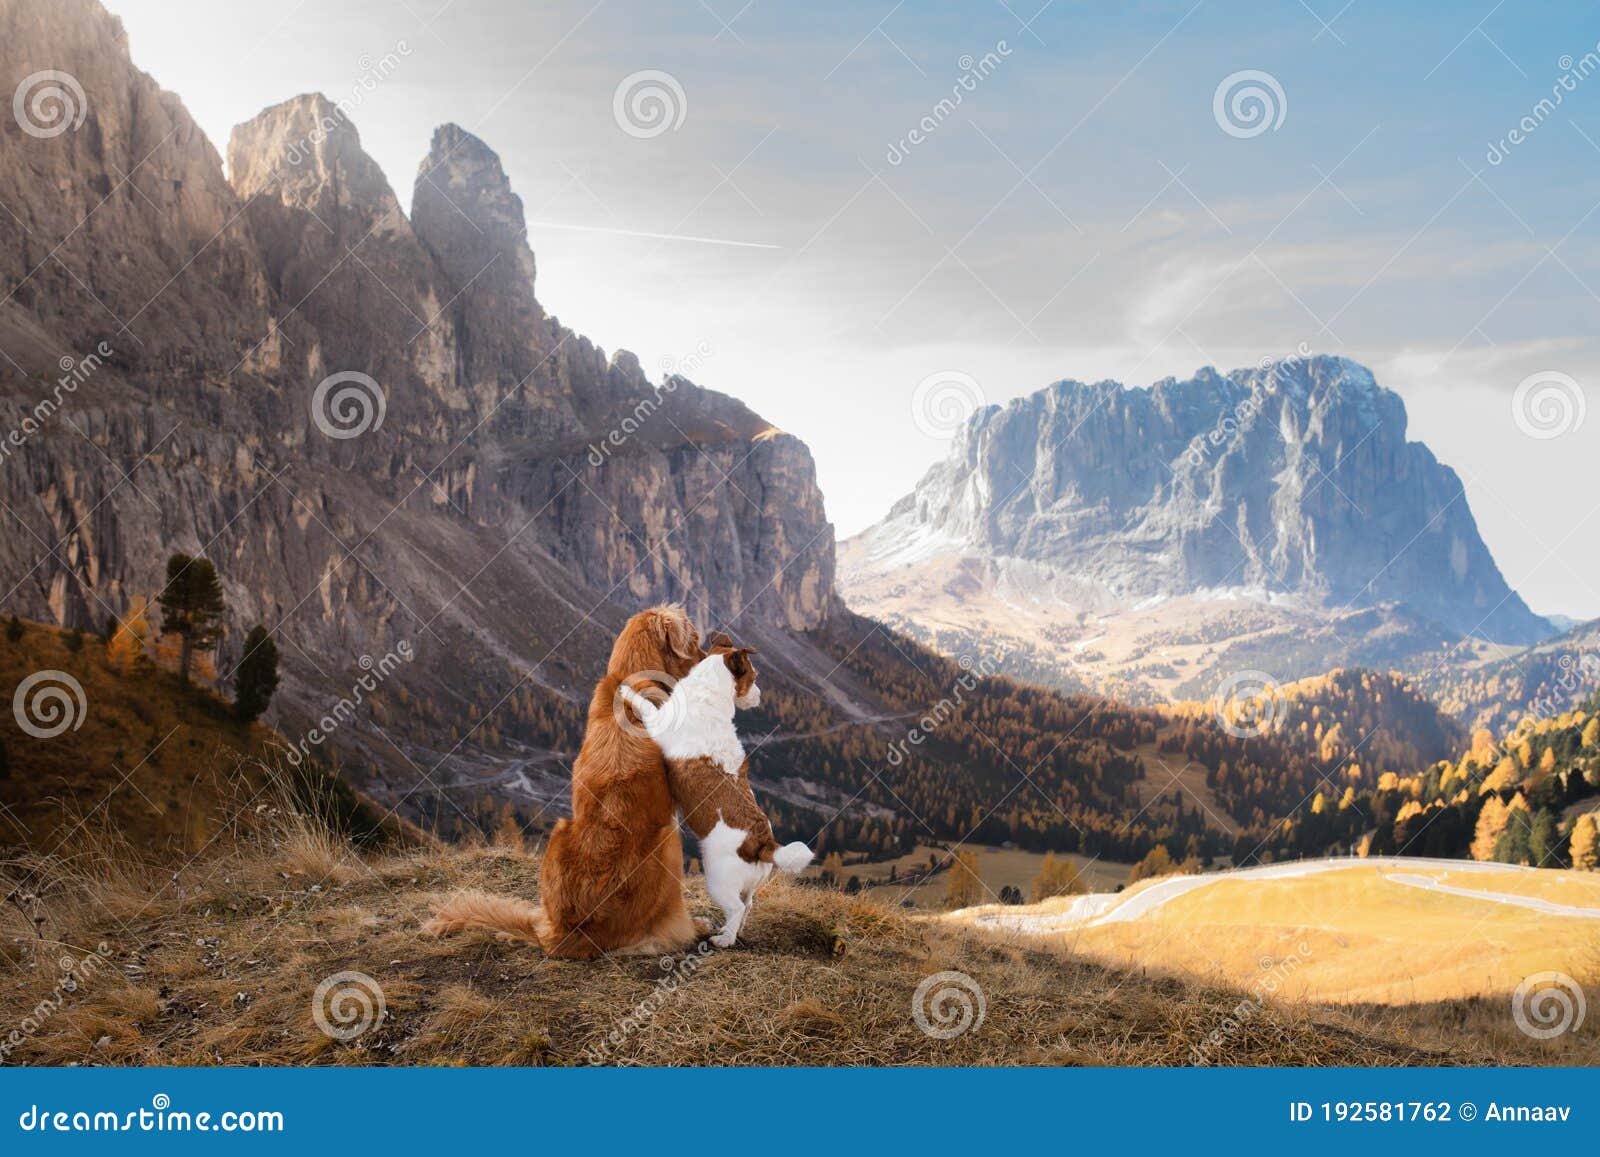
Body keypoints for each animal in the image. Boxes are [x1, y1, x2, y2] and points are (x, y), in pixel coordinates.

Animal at [425, 604, 707, 960]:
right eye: (694, 641)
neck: (631, 678)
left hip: (560, 832)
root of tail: (561, 935)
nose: (709, 657)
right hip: (667, 840)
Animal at [614, 643, 806, 947]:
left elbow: (645, 704)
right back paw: (733, 931)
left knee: (736, 907)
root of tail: (763, 842)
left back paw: (723, 940)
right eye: (755, 677)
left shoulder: (658, 722)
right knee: (748, 904)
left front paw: (625, 690)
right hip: (750, 883)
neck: (708, 695)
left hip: (718, 881)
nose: (760, 696)